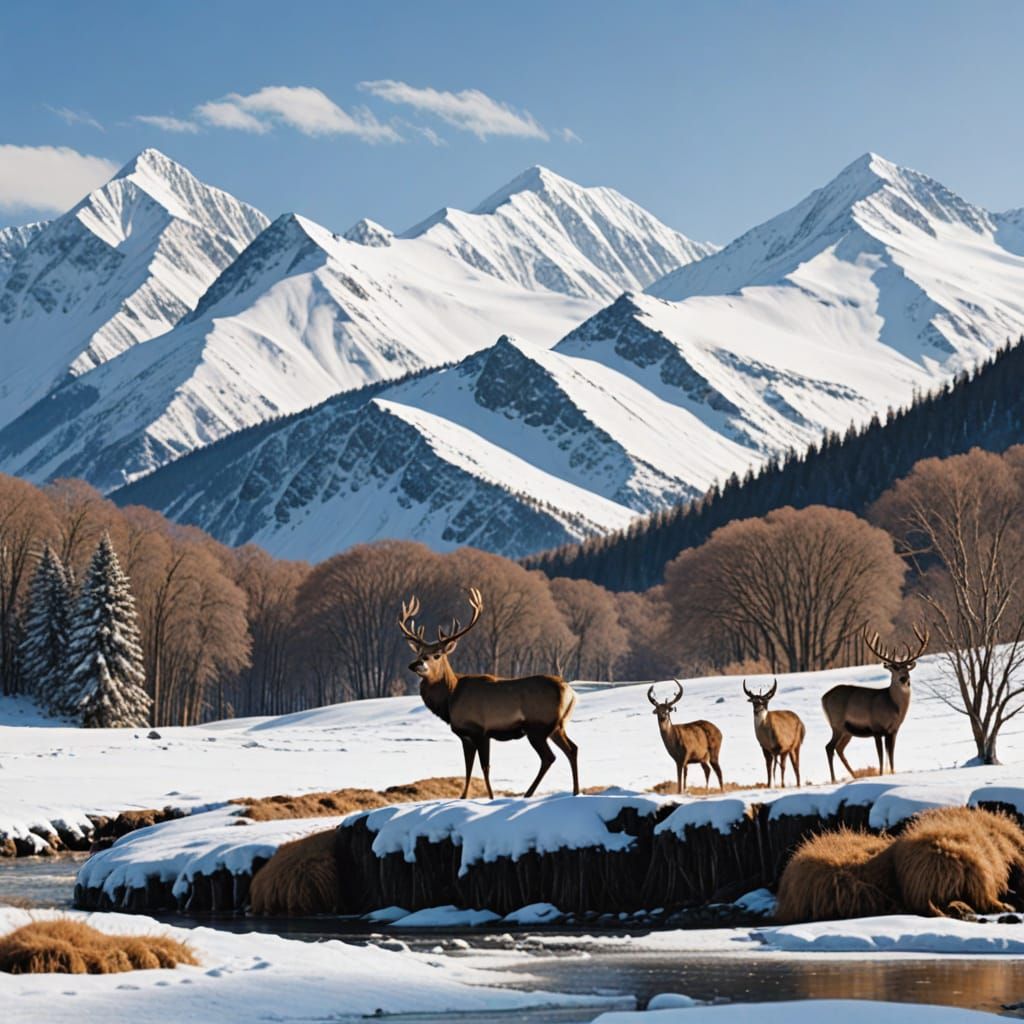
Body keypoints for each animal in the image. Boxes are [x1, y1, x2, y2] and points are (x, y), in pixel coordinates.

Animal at [398, 588, 579, 800]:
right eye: (419, 653)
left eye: (437, 655)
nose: (415, 664)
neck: (450, 699)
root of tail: (571, 693)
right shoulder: (466, 735)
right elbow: (468, 767)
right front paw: (463, 797)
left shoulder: (480, 730)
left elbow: (484, 767)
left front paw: (491, 797)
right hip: (557, 726)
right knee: (572, 749)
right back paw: (575, 792)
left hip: (538, 726)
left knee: (549, 757)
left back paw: (529, 794)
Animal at [822, 624, 929, 782]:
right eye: (894, 668)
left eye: (907, 668)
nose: (904, 679)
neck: (893, 707)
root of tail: (824, 698)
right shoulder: (876, 728)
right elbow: (881, 756)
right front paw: (881, 774)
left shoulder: (893, 730)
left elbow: (891, 756)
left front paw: (892, 773)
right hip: (837, 724)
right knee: (829, 747)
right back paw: (834, 779)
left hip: (847, 731)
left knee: (839, 748)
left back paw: (854, 775)